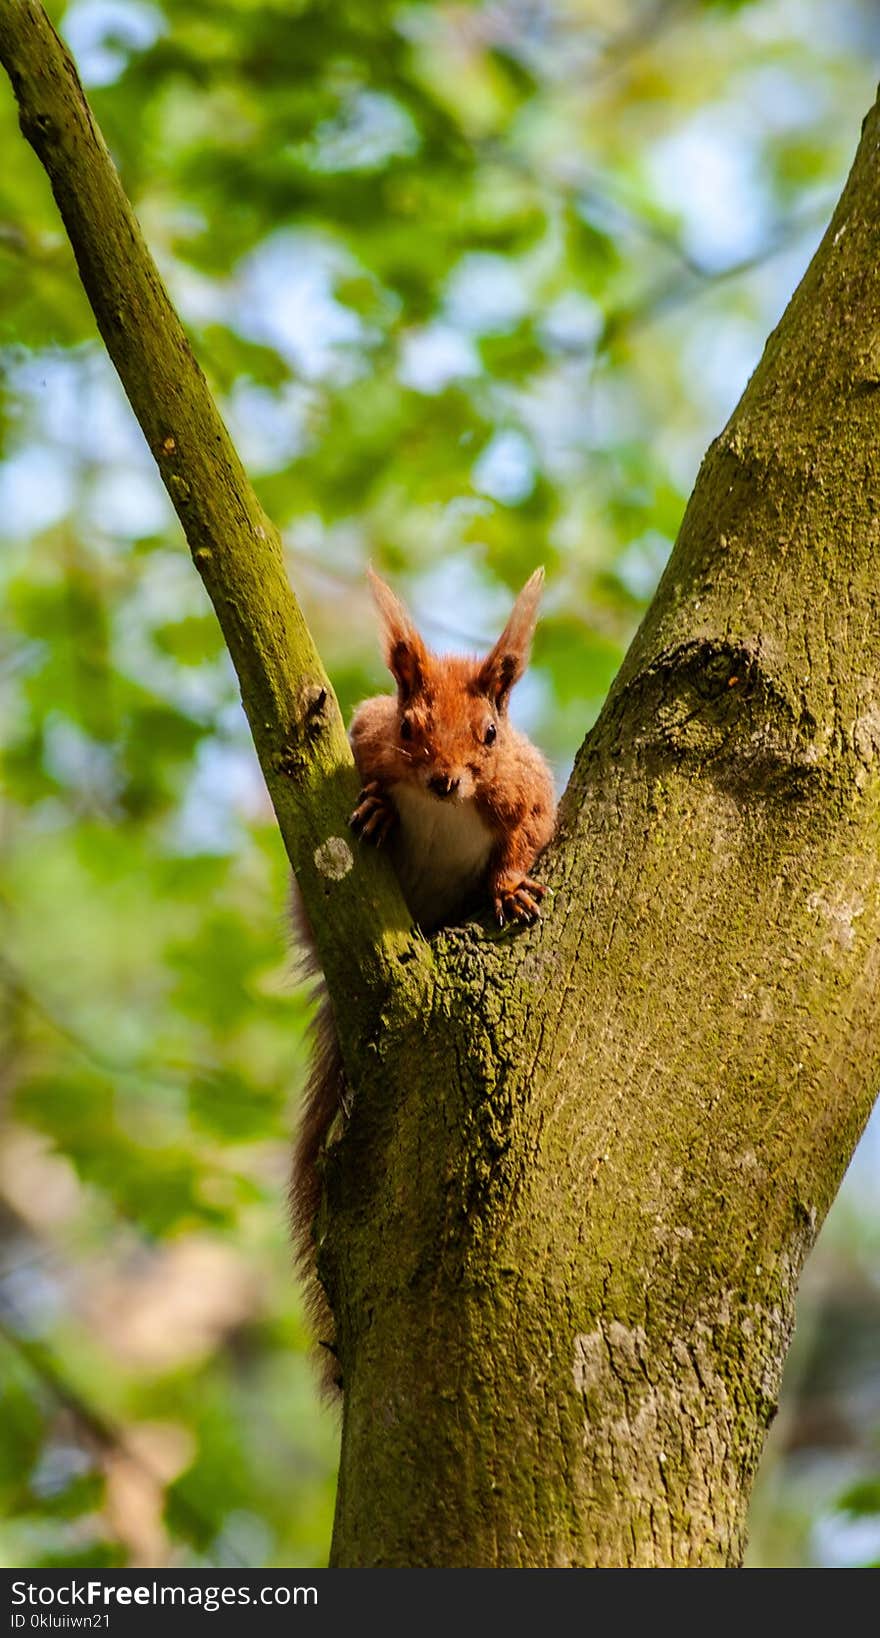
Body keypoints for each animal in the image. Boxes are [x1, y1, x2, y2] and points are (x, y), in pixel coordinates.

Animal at [290, 570, 557, 1389]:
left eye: (491, 734)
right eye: (409, 727)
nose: (444, 781)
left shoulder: (526, 792)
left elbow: (527, 835)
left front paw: (510, 890)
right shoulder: (362, 738)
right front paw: (378, 806)